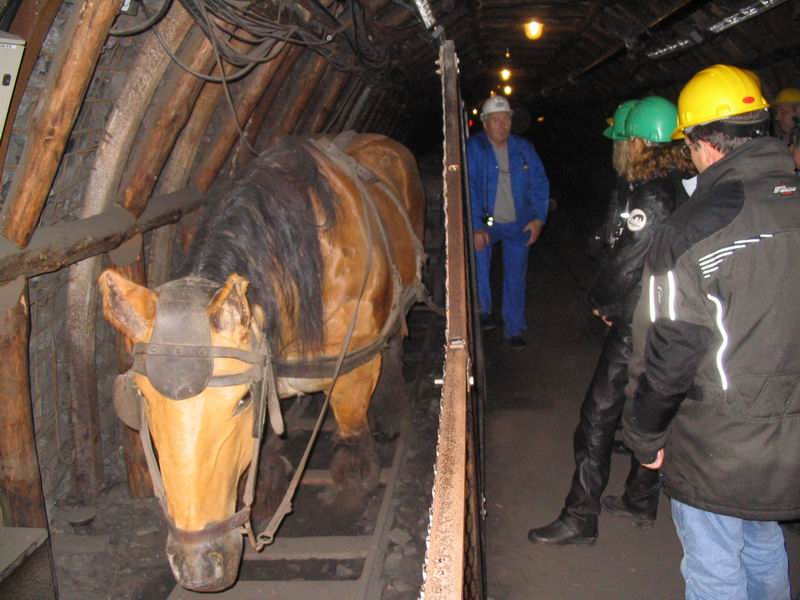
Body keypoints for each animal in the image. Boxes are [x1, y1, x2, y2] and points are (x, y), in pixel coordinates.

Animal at [98, 133, 426, 592]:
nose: (198, 566)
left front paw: (353, 485)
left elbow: (351, 420)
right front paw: (268, 488)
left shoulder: (354, 362)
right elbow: (266, 441)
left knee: (394, 347)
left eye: (241, 401)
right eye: (143, 402)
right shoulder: (272, 366)